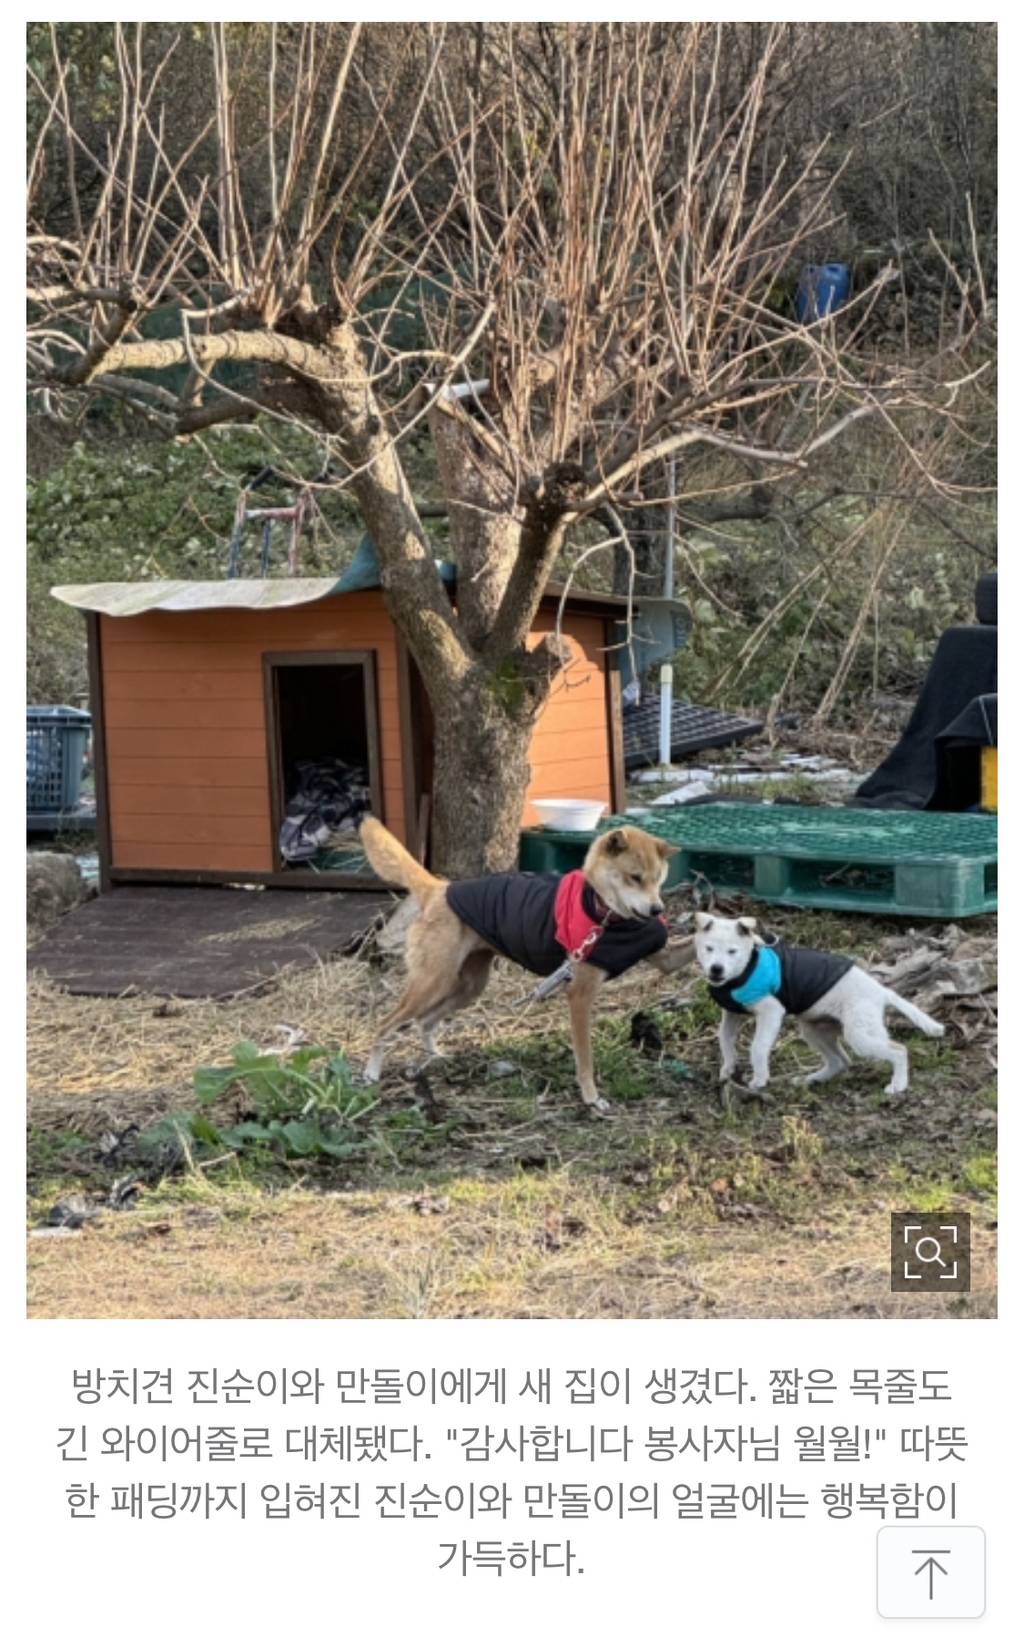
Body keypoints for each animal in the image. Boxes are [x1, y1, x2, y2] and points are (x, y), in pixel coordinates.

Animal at [361, 818, 693, 1112]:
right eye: (635, 877)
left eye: (658, 878)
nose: (657, 910)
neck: (604, 912)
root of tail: (438, 889)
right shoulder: (579, 995)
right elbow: (584, 1058)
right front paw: (591, 1098)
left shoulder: (666, 959)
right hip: (433, 983)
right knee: (385, 1024)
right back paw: (371, 1074)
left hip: (467, 987)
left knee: (425, 1022)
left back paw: (438, 1057)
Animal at [693, 909, 942, 1099]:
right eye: (709, 948)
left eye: (732, 951)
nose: (716, 969)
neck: (746, 968)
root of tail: (880, 991)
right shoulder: (731, 1013)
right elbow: (725, 1039)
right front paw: (728, 1069)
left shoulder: (771, 1011)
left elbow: (758, 1047)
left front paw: (760, 1079)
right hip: (815, 1030)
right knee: (840, 1061)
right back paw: (811, 1079)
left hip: (859, 1035)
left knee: (899, 1050)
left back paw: (898, 1084)